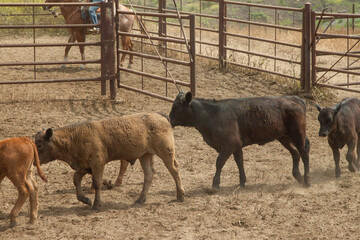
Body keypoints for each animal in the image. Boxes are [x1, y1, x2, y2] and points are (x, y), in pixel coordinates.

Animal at [35, 112, 186, 210]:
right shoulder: (83, 166)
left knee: (174, 170)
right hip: (145, 155)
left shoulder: (97, 164)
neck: (75, 137)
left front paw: (96, 205)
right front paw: (85, 199)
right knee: (149, 174)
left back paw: (180, 195)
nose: (34, 161)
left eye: (39, 145)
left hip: (166, 152)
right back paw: (140, 199)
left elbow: (96, 183)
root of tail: (161, 117)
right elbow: (76, 180)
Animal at [170, 92, 310, 188]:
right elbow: (239, 162)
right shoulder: (236, 146)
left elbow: (219, 162)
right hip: (283, 137)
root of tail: (295, 98)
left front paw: (215, 184)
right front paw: (242, 182)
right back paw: (298, 176)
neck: (213, 114)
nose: (169, 119)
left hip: (298, 134)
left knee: (303, 152)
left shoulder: (230, 144)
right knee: (295, 153)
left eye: (177, 108)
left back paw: (307, 181)